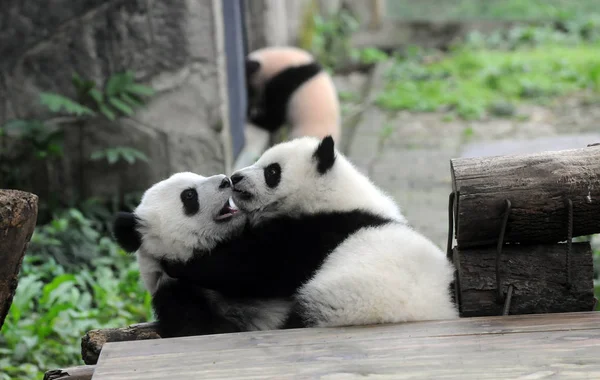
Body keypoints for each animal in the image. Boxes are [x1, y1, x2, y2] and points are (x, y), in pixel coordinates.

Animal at [164, 137, 460, 330]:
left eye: (272, 171)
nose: (235, 177)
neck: (333, 195)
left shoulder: (319, 232)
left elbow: (258, 267)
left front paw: (179, 264)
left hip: (343, 299)